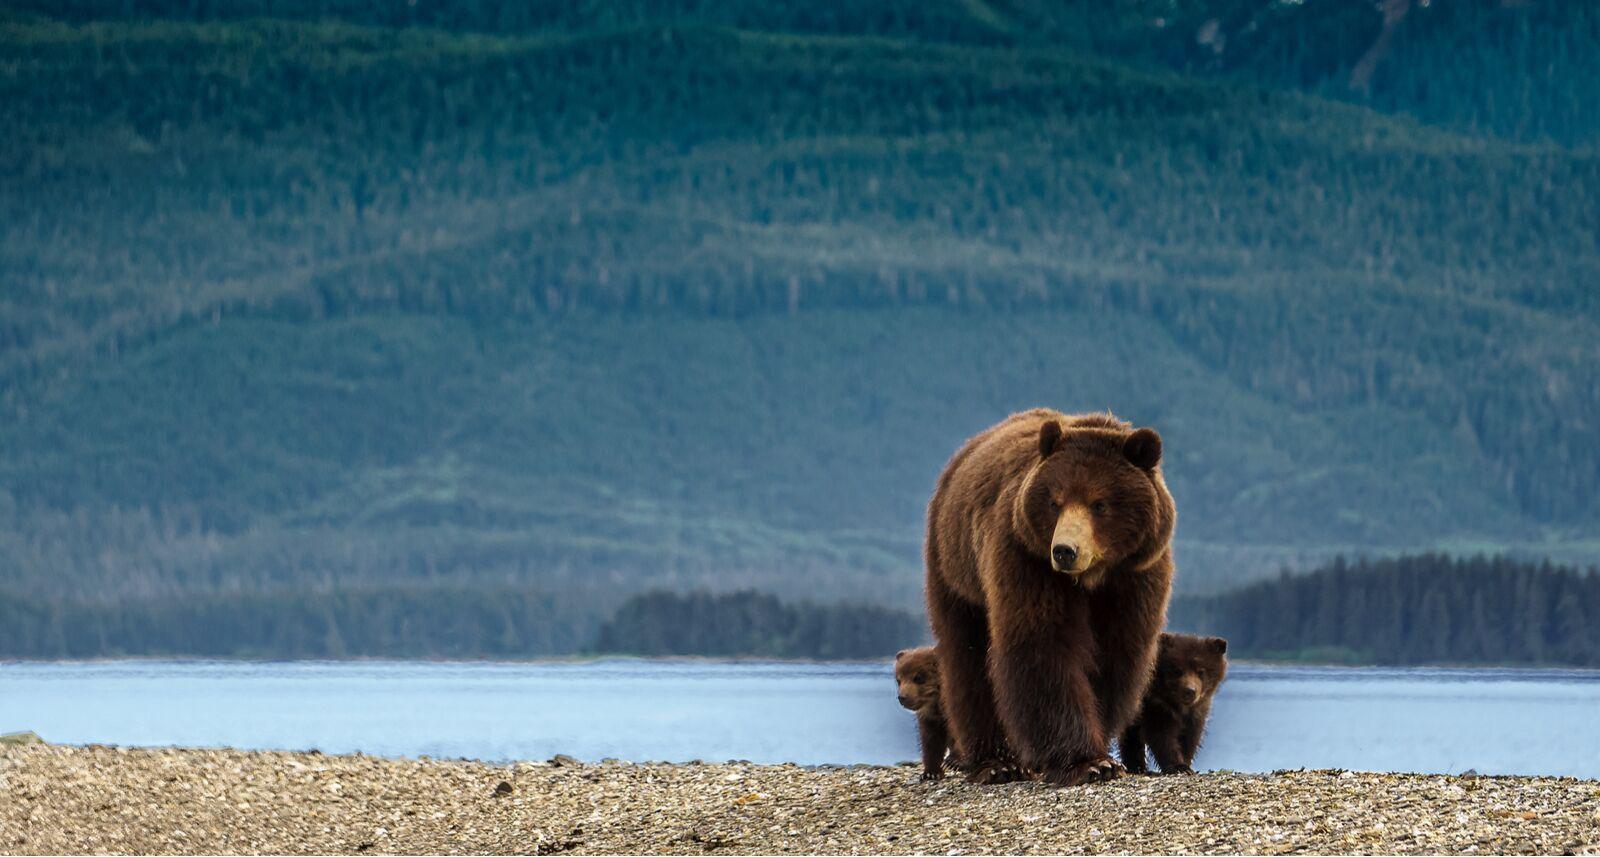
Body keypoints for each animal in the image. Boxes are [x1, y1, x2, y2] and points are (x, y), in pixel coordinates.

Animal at [894, 646, 954, 780]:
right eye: (898, 680)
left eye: (918, 677)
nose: (902, 697)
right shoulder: (929, 719)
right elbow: (930, 742)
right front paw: (931, 772)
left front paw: (954, 761)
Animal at [924, 409, 1175, 786]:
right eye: (1055, 501)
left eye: (1099, 503)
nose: (1065, 551)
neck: (1091, 578)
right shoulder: (1027, 559)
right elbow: (1044, 643)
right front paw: (1088, 762)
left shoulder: (1134, 577)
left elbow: (1115, 654)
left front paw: (1099, 750)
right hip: (956, 571)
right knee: (967, 659)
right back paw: (996, 763)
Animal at [1118, 632, 1228, 775]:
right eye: (1177, 670)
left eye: (1201, 671)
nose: (1190, 691)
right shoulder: (1156, 704)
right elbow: (1162, 735)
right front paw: (1178, 766)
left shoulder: (1197, 711)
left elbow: (1190, 736)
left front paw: (1186, 761)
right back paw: (1135, 766)